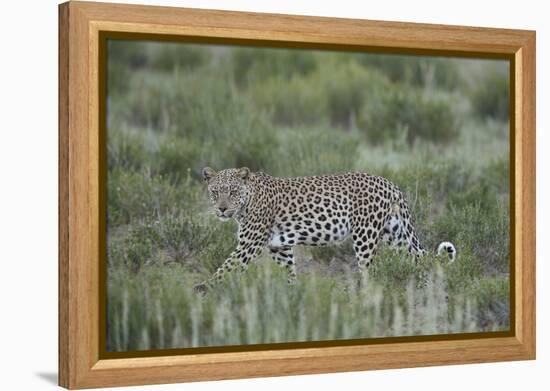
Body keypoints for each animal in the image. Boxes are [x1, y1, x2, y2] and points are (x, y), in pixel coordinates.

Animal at [194, 167, 458, 296]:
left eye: (232, 192)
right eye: (216, 192)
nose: (222, 209)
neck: (247, 201)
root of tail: (389, 183)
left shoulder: (249, 245)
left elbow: (225, 267)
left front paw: (202, 289)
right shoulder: (279, 247)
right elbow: (289, 272)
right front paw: (291, 294)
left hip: (365, 235)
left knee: (369, 271)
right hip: (395, 234)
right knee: (418, 259)